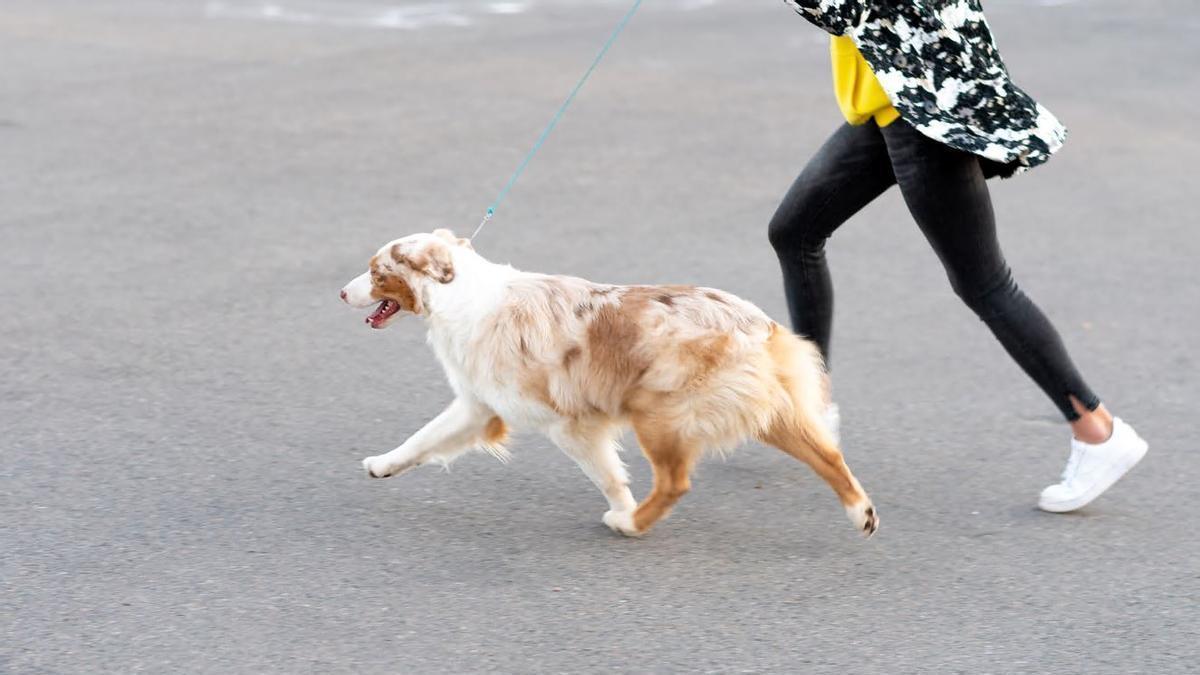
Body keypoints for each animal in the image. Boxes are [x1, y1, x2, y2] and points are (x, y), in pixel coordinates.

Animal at [343, 229, 878, 535]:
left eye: (375, 272)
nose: (342, 292)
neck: (459, 293)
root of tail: (757, 323)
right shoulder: (480, 403)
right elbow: (424, 438)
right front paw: (383, 465)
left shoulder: (566, 423)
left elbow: (605, 473)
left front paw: (621, 507)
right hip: (763, 409)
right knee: (828, 455)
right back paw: (862, 514)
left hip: (657, 412)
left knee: (676, 481)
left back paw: (631, 524)